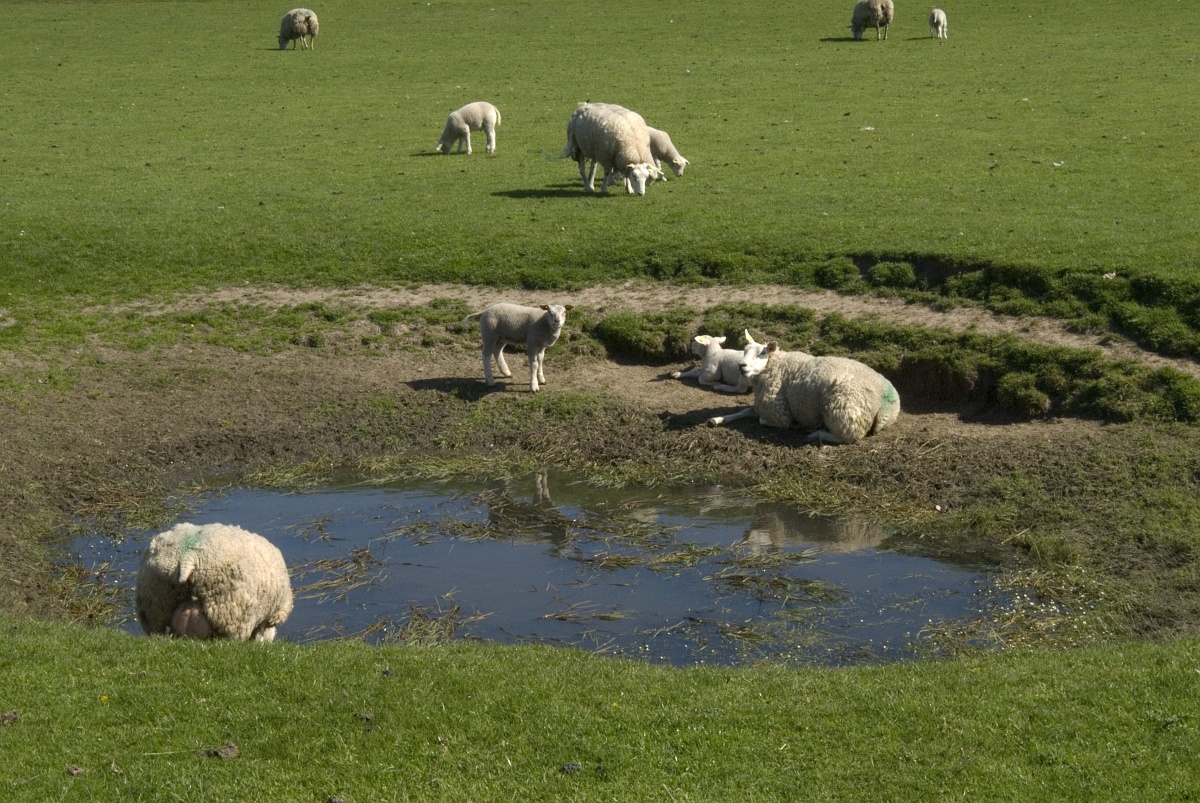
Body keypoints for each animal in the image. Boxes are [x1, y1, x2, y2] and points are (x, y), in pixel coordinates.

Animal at [707, 340, 901, 445]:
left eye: (762, 352)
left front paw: (794, 424)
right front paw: (716, 419)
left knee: (848, 437)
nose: (742, 366)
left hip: (844, 411)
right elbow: (744, 411)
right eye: (744, 351)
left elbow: (764, 420)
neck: (774, 365)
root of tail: (886, 401)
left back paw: (815, 433)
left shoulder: (778, 412)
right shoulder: (764, 406)